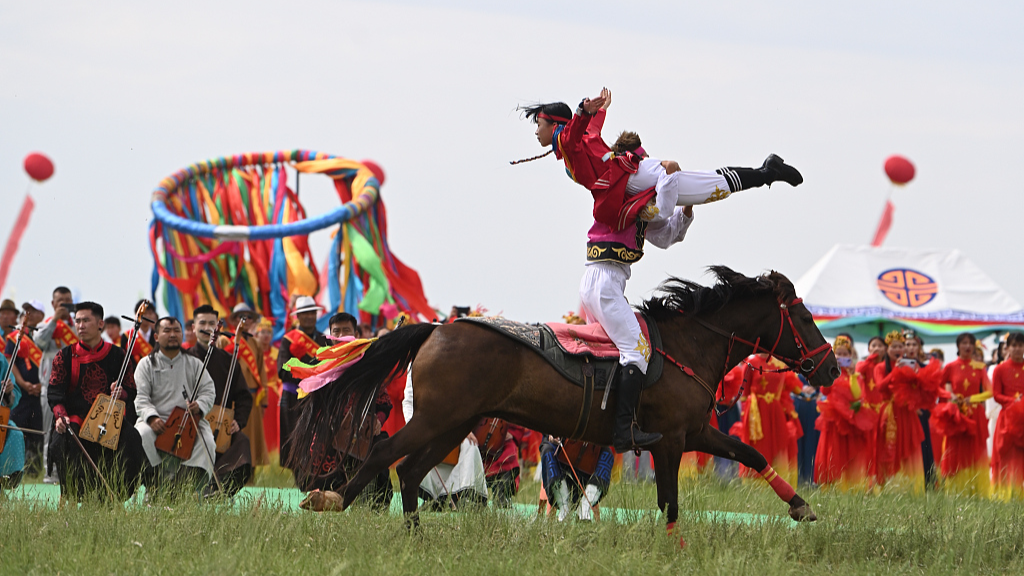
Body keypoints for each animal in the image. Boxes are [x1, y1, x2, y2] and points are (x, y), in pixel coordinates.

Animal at [290, 266, 839, 528]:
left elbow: (750, 453)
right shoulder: (669, 441)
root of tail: (436, 329)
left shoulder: (695, 432)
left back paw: (414, 532)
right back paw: (331, 499)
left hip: (453, 422)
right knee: (386, 452)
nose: (832, 368)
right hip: (437, 418)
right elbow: (670, 502)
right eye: (805, 316)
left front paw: (801, 507)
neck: (687, 345)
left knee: (408, 471)